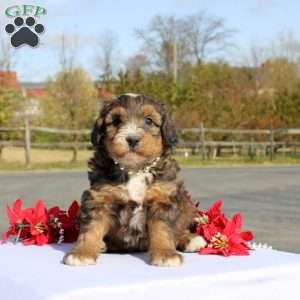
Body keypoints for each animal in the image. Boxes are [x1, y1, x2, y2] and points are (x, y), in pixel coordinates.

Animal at [63, 94, 206, 268]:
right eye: (116, 121)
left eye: (149, 121)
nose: (132, 139)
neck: (136, 169)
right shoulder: (99, 198)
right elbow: (91, 228)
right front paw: (82, 253)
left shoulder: (162, 198)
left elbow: (163, 230)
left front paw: (166, 254)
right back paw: (102, 245)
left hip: (187, 205)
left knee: (180, 228)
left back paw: (190, 239)